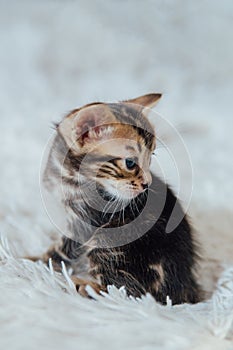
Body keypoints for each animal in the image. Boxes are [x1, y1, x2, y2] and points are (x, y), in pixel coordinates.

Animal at [33, 93, 202, 304]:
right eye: (130, 163)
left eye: (150, 157)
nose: (147, 183)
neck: (69, 178)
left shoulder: (85, 224)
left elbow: (61, 251)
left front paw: (31, 261)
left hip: (107, 244)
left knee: (124, 292)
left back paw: (82, 285)